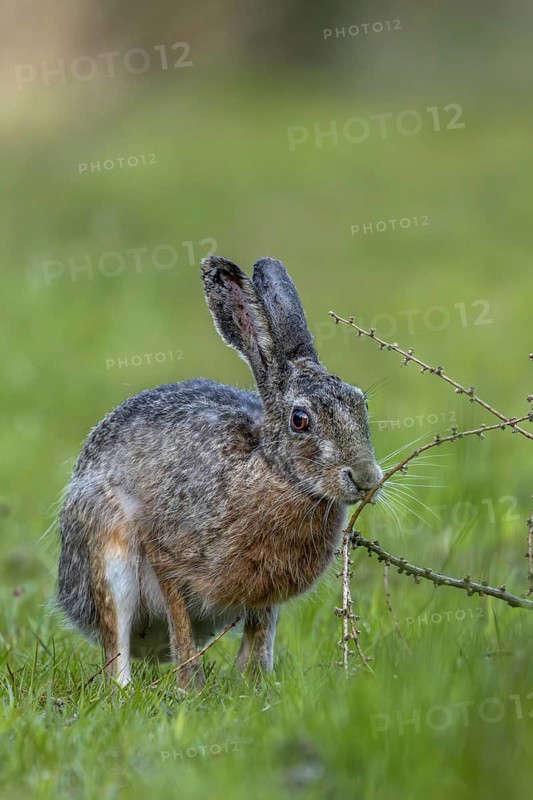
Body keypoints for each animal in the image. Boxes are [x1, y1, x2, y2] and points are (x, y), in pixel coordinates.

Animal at [58, 255, 383, 689]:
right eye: (300, 420)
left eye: (361, 403)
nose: (366, 478)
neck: (272, 471)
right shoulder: (167, 555)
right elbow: (180, 625)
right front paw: (190, 688)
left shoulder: (264, 595)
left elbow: (258, 636)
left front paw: (255, 685)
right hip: (106, 546)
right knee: (116, 645)